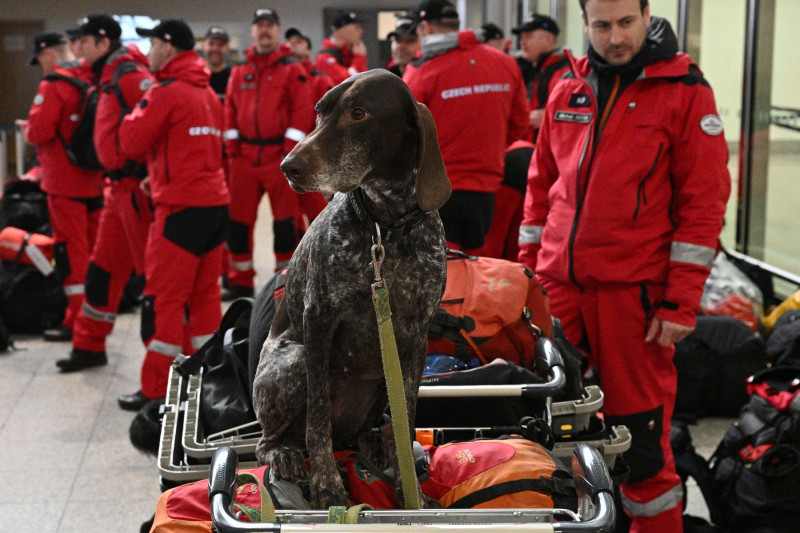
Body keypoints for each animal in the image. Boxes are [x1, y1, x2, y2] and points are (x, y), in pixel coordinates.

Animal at [252, 69, 450, 508]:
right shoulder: (319, 320)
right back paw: (285, 454)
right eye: (319, 111)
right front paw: (327, 484)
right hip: (294, 361)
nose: (288, 166)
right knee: (268, 441)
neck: (385, 228)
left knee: (374, 429)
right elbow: (318, 419)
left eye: (359, 113)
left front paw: (410, 488)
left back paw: (378, 446)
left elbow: (407, 414)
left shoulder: (416, 337)